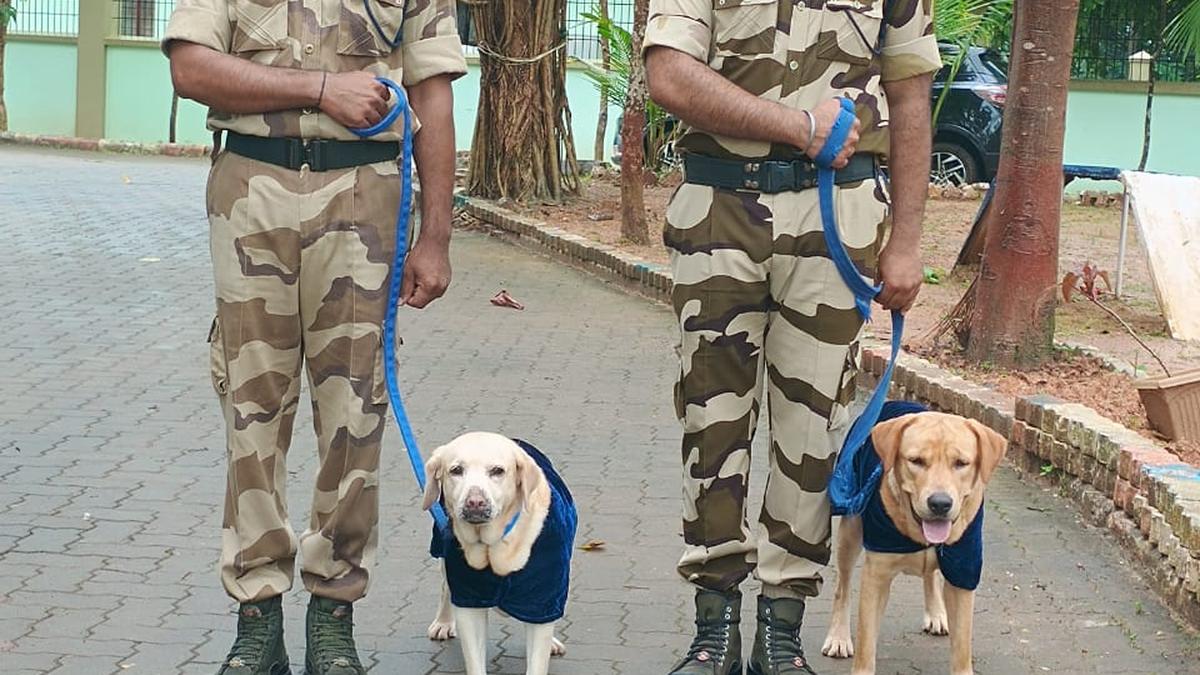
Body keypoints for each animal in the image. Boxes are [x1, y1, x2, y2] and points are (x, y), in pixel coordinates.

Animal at [422, 429, 571, 672]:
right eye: (456, 470)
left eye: (497, 471)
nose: (475, 502)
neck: (493, 545)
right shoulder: (469, 600)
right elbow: (475, 662)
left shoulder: (542, 596)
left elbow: (537, 659)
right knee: (446, 587)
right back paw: (443, 622)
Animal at [820, 410, 1008, 672]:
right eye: (916, 460)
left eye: (961, 463)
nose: (940, 503)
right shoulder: (876, 576)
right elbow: (866, 643)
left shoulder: (963, 572)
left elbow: (962, 649)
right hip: (850, 527)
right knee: (842, 588)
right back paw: (838, 637)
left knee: (931, 575)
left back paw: (936, 613)